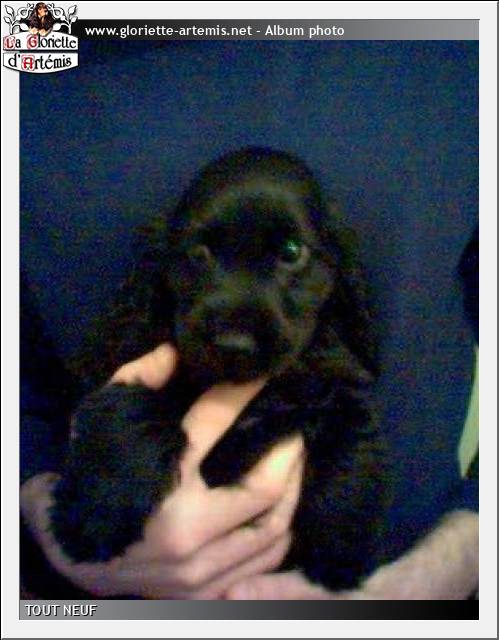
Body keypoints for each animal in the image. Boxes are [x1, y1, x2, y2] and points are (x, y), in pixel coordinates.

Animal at [50, 147, 389, 591]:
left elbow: (352, 434)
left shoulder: (333, 382)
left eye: (291, 252)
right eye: (200, 253)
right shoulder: (122, 363)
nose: (235, 345)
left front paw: (341, 549)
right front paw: (97, 510)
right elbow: (129, 407)